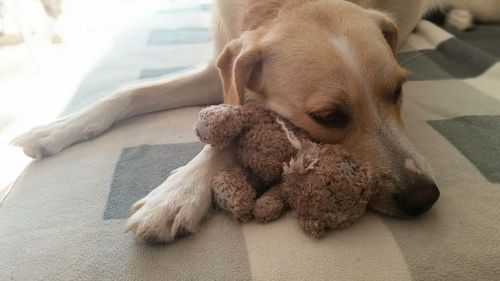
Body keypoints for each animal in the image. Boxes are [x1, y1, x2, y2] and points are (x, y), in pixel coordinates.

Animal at [10, 0, 500, 242]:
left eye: (397, 91)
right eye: (328, 117)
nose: (424, 198)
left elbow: (226, 136)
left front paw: (176, 195)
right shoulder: (219, 67)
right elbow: (132, 93)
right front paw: (56, 128)